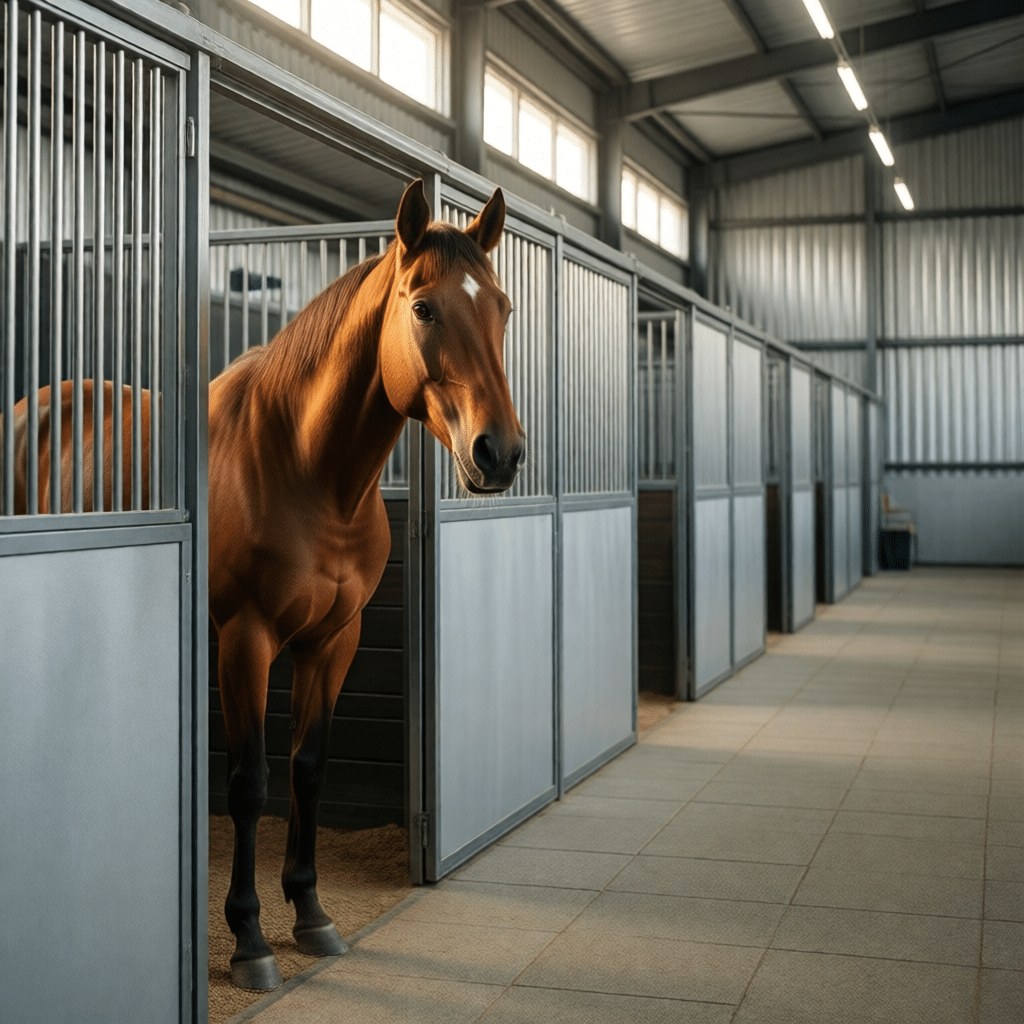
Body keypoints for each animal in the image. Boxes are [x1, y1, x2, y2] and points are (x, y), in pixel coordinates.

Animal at [9, 179, 525, 991]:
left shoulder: (333, 641)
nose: (498, 453)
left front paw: (311, 915)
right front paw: (249, 940)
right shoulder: (246, 641)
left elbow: (307, 769)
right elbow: (250, 783)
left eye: (502, 308)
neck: (307, 468)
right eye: (422, 308)